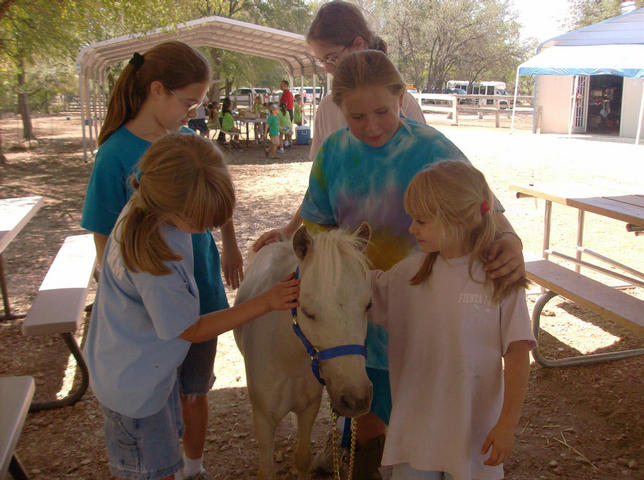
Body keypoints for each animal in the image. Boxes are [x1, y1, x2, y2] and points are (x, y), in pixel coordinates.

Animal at [234, 225, 372, 480]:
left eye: (368, 305)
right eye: (307, 312)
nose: (355, 399)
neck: (289, 360)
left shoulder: (309, 410)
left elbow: (302, 458)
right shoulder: (263, 418)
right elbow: (267, 469)